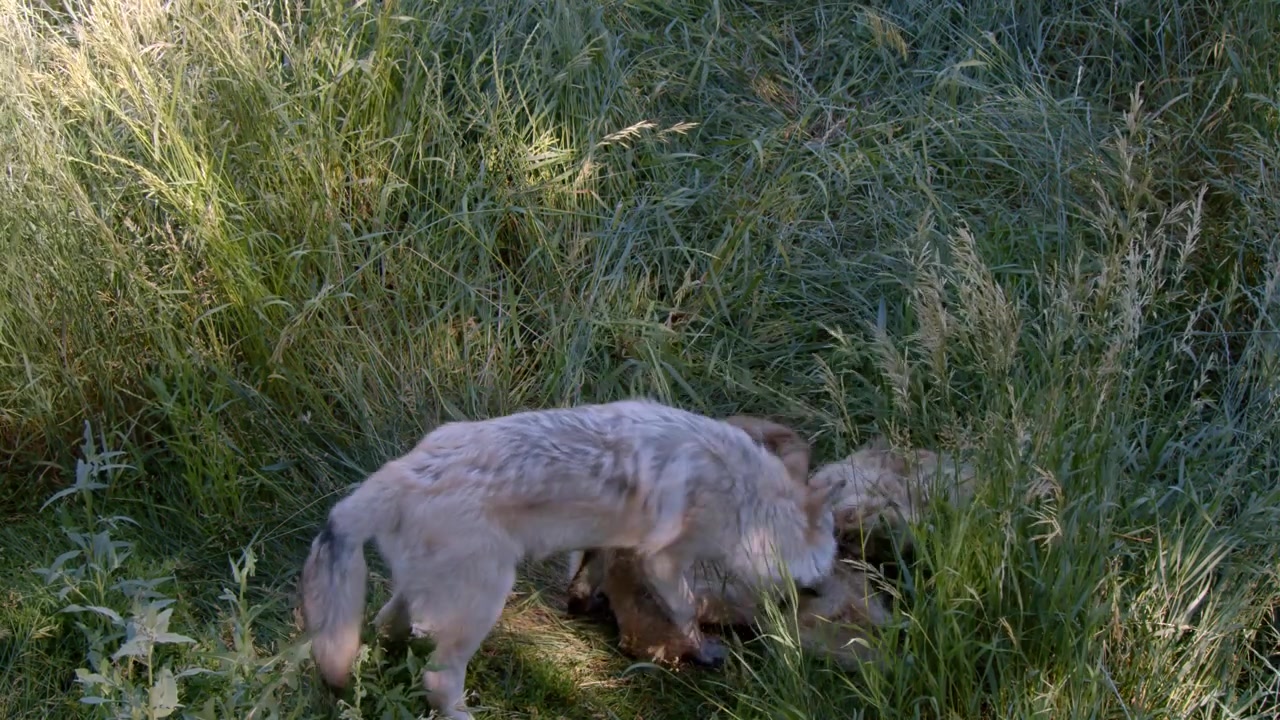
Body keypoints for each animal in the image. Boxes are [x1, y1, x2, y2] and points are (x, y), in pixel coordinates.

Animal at [299, 399, 844, 720]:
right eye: (817, 579)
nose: (818, 597)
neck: (746, 497)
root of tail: (397, 474)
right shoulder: (664, 561)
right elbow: (686, 610)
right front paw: (704, 650)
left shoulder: (611, 540)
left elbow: (588, 569)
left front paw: (582, 598)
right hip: (482, 605)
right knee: (438, 677)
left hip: (419, 596)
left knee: (384, 627)